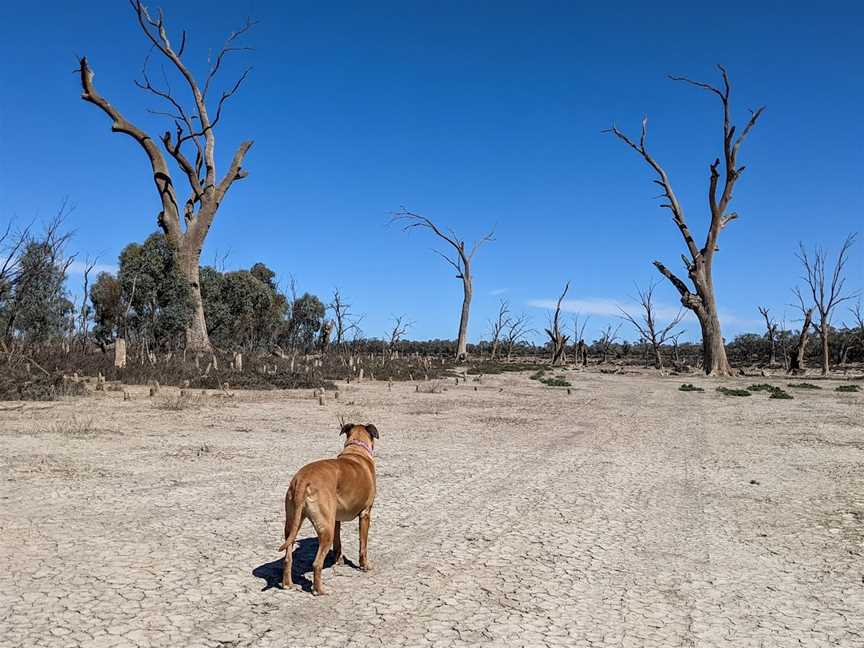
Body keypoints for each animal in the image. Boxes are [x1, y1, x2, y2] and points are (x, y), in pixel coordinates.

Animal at [280, 422, 378, 596]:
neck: (356, 450)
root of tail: (303, 479)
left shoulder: (336, 519)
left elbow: (338, 544)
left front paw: (338, 561)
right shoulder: (365, 514)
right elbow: (363, 546)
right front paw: (364, 565)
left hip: (292, 524)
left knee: (288, 557)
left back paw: (287, 584)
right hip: (326, 529)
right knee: (316, 563)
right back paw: (319, 590)